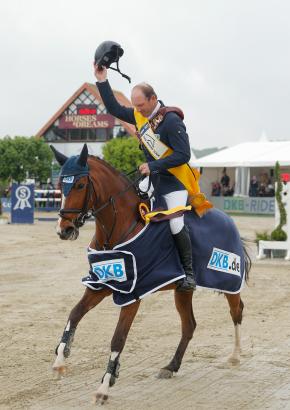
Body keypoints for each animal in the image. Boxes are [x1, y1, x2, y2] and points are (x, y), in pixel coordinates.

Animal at [51, 144, 250, 404]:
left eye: (80, 185)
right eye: (59, 184)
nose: (64, 230)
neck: (118, 228)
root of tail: (229, 220)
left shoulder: (132, 294)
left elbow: (118, 338)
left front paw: (105, 386)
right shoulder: (102, 283)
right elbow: (74, 314)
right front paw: (59, 361)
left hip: (229, 281)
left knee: (237, 311)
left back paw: (235, 356)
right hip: (182, 291)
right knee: (189, 325)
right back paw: (171, 366)